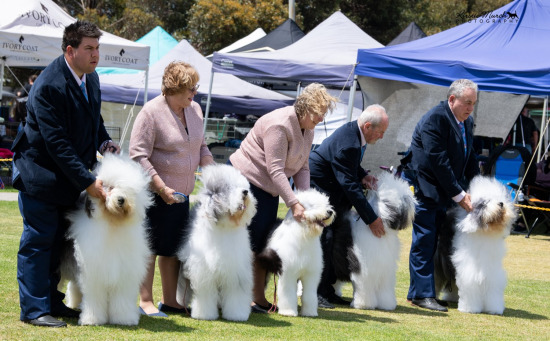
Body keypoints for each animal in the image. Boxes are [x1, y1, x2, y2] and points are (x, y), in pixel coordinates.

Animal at [60, 154, 153, 324]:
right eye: (109, 187)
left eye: (128, 189)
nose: (121, 199)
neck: (112, 222)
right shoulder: (93, 273)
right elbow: (95, 299)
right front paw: (92, 319)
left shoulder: (124, 274)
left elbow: (122, 299)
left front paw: (125, 318)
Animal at [177, 163, 258, 320]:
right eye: (229, 187)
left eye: (243, 186)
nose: (245, 192)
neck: (225, 226)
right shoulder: (204, 273)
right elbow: (205, 295)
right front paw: (204, 315)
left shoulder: (235, 271)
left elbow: (235, 295)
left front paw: (237, 315)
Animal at [332, 171, 418, 310]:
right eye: (405, 198)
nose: (414, 203)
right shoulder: (364, 270)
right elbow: (364, 288)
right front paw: (363, 304)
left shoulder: (385, 269)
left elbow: (385, 290)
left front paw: (387, 304)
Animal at [436, 175, 516, 314]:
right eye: (485, 202)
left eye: (498, 198)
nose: (501, 203)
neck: (485, 232)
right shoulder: (468, 268)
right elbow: (471, 284)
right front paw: (469, 308)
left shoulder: (492, 270)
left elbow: (493, 286)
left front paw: (494, 308)